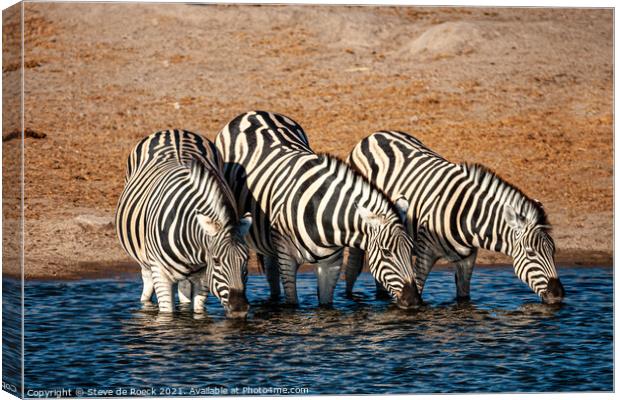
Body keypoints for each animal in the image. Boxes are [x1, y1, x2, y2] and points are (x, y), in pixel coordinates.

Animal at [115, 130, 253, 318]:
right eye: (216, 261)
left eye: (247, 259)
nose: (239, 309)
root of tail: (173, 130)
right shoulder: (160, 272)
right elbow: (167, 313)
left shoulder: (203, 275)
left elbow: (198, 310)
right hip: (146, 264)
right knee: (147, 287)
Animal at [214, 111, 422, 310]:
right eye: (386, 252)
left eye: (411, 248)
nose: (413, 301)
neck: (320, 215)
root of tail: (253, 113)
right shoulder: (287, 259)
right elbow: (292, 305)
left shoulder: (331, 264)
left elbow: (326, 306)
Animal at [346, 130, 564, 304]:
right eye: (530, 253)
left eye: (553, 251)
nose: (558, 295)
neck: (470, 218)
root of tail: (374, 135)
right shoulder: (424, 254)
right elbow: (419, 289)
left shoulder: (468, 258)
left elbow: (464, 298)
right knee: (353, 268)